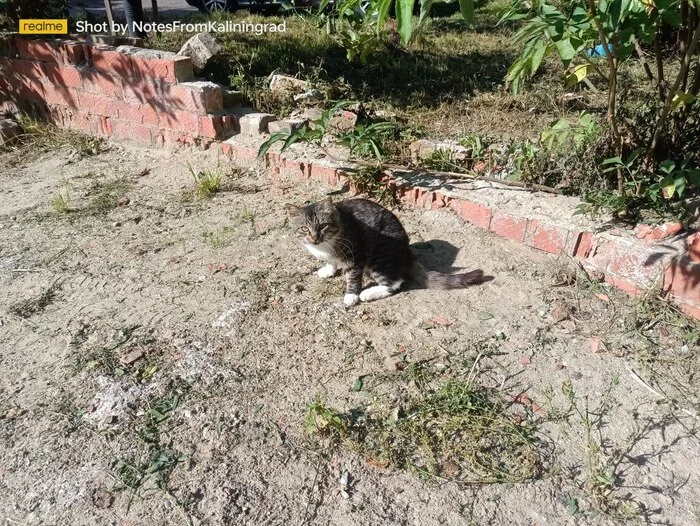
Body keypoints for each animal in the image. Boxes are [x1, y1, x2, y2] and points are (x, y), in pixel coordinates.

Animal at [284, 198, 486, 308]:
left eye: (323, 226)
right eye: (304, 229)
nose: (314, 238)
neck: (325, 245)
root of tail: (407, 252)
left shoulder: (355, 255)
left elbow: (353, 277)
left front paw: (351, 295)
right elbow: (331, 261)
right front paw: (328, 269)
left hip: (379, 256)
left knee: (395, 282)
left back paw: (369, 293)